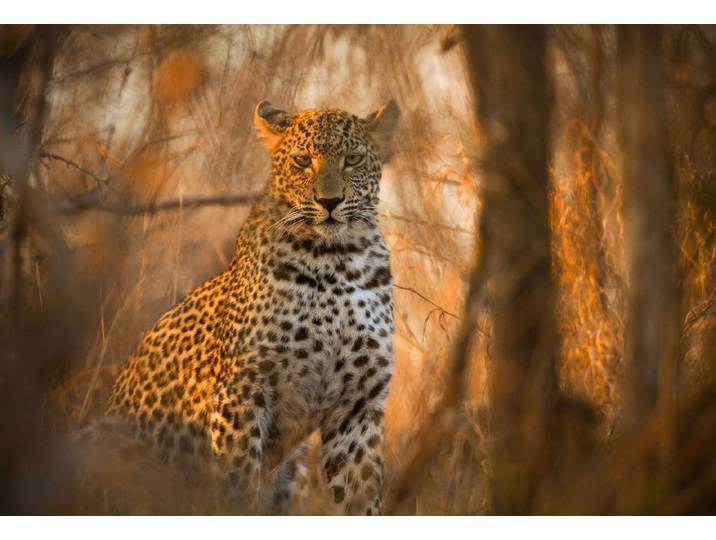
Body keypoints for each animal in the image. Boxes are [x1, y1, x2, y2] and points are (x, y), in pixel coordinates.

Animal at [105, 99, 400, 515]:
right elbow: (238, 486)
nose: (329, 202)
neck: (338, 261)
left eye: (353, 159)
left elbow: (362, 497)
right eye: (301, 161)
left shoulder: (358, 404)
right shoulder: (242, 391)